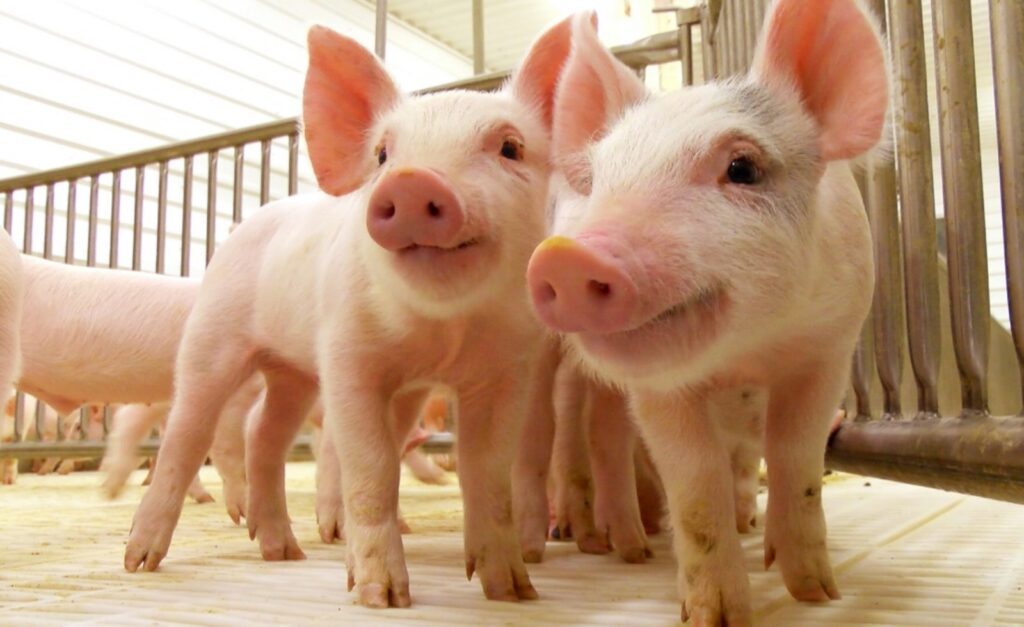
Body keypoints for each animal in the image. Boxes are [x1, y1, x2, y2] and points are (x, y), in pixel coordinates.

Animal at [123, 18, 575, 608]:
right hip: (212, 334)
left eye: (510, 147)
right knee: (188, 431)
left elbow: (487, 472)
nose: (412, 181)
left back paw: (283, 552)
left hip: (292, 372)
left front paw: (514, 592)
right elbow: (372, 467)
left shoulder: (503, 371)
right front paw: (379, 597)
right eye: (382, 154)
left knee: (262, 430)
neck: (441, 331)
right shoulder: (347, 354)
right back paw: (139, 562)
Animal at [527, 3, 888, 623]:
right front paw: (716, 613)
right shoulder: (657, 388)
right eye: (599, 181)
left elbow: (795, 458)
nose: (567, 256)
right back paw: (604, 543)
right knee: (584, 429)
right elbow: (696, 481)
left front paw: (816, 592)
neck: (744, 355)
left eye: (742, 167)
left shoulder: (828, 347)